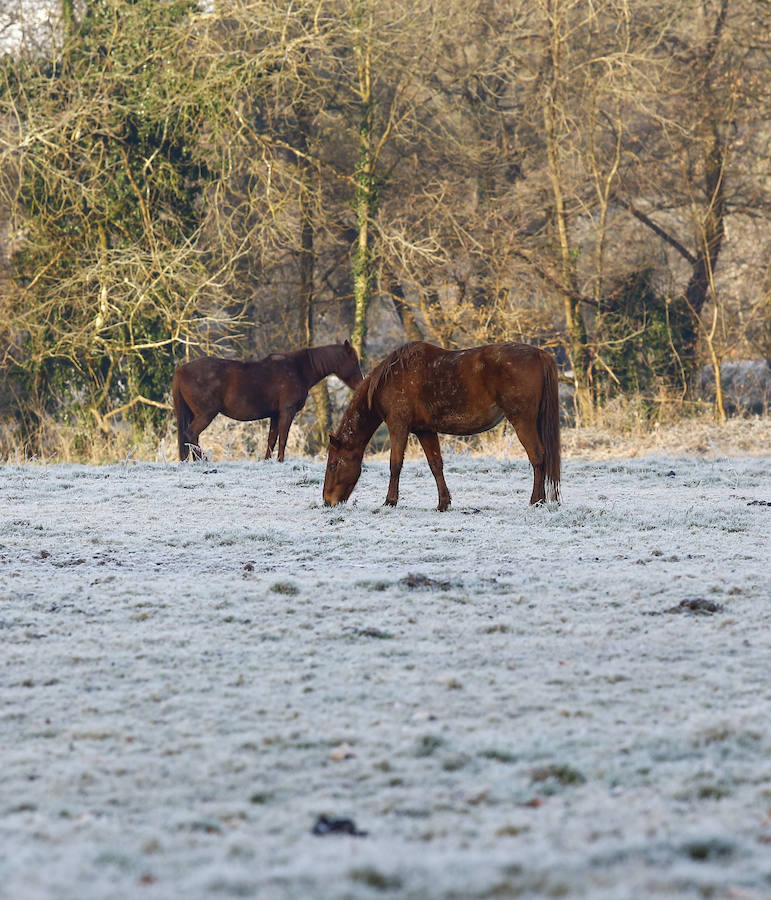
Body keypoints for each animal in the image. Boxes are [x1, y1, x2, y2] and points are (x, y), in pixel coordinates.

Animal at [173, 342, 364, 460]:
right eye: (354, 361)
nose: (361, 384)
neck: (298, 369)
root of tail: (181, 370)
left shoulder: (275, 415)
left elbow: (271, 439)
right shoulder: (287, 411)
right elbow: (283, 438)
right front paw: (280, 461)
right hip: (206, 414)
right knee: (191, 433)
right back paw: (203, 460)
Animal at [324, 342, 560, 510]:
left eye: (333, 465)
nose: (327, 501)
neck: (391, 378)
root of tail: (540, 354)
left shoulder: (398, 426)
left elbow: (395, 464)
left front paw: (390, 501)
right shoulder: (425, 430)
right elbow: (435, 465)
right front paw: (443, 503)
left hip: (522, 421)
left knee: (537, 457)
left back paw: (536, 501)